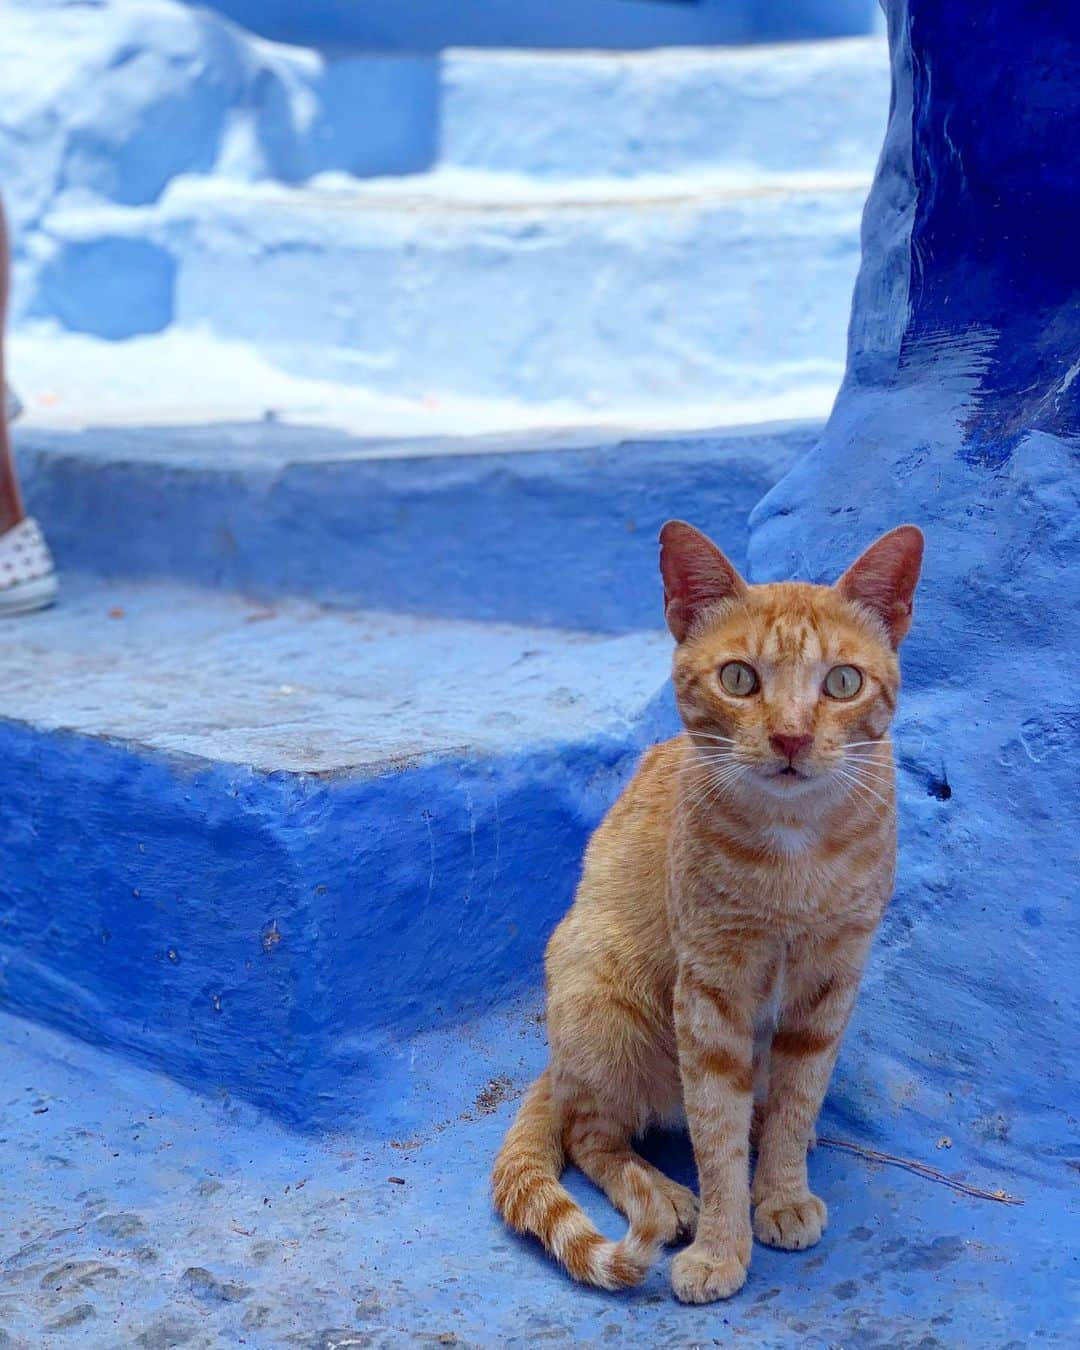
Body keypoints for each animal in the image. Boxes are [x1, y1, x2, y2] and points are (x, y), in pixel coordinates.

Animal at [494, 515, 923, 1296]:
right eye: (739, 678)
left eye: (842, 682)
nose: (791, 737)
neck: (794, 845)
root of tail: (557, 1062)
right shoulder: (711, 991)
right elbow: (713, 1132)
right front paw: (723, 1247)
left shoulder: (829, 984)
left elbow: (798, 1100)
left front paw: (781, 1192)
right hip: (603, 1004)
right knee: (589, 1133)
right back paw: (661, 1195)